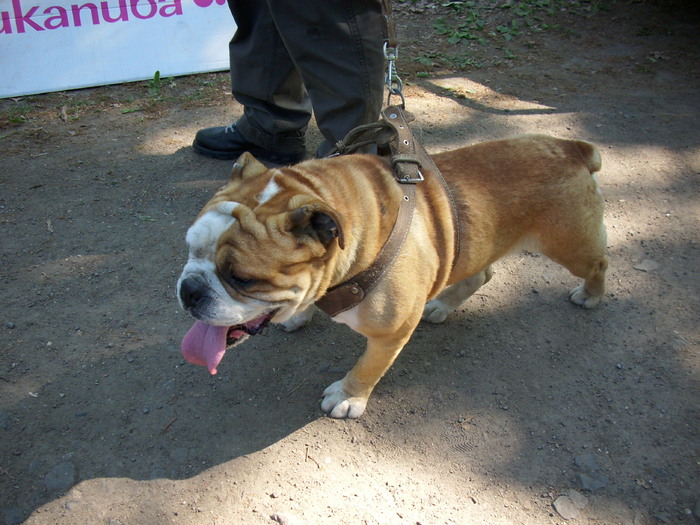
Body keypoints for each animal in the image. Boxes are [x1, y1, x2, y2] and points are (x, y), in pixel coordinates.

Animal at [176, 134, 608, 418]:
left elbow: (368, 366)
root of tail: (572, 146)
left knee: (597, 264)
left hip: (570, 245)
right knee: (481, 273)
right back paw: (442, 305)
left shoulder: (390, 332)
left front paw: (348, 397)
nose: (189, 289)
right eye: (190, 248)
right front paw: (299, 315)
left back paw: (590, 295)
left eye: (242, 279)